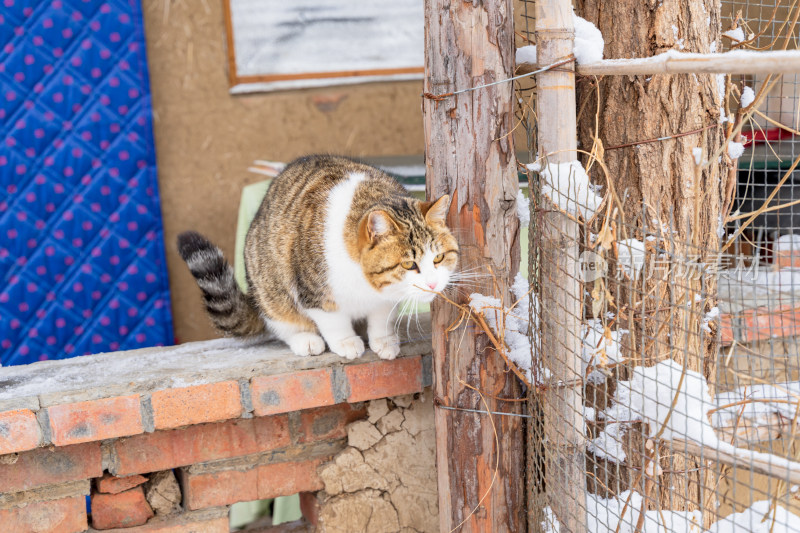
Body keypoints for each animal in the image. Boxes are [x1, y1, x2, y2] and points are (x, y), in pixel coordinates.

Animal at [179, 155, 460, 362]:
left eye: (439, 258)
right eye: (409, 264)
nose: (434, 283)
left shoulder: (386, 298)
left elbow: (382, 315)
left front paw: (384, 339)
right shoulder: (312, 291)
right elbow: (331, 318)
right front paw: (346, 342)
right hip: (269, 286)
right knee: (280, 319)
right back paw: (305, 339)